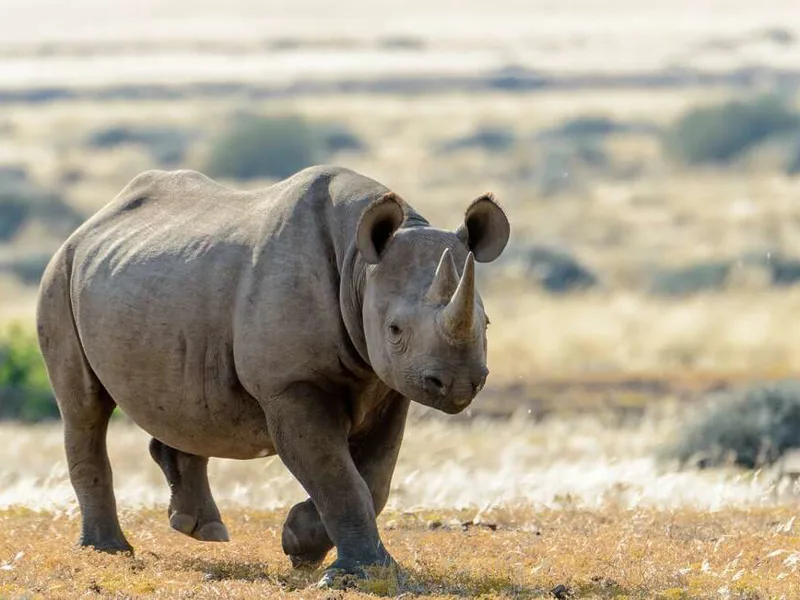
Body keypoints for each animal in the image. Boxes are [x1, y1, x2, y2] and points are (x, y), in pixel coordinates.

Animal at [36, 165, 509, 585]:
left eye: (487, 324)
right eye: (394, 331)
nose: (458, 383)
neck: (359, 269)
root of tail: (90, 223)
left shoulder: (390, 386)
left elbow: (375, 478)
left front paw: (300, 544)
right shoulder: (291, 384)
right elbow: (337, 475)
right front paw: (354, 573)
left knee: (182, 401)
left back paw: (201, 530)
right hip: (59, 274)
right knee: (84, 409)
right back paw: (108, 551)